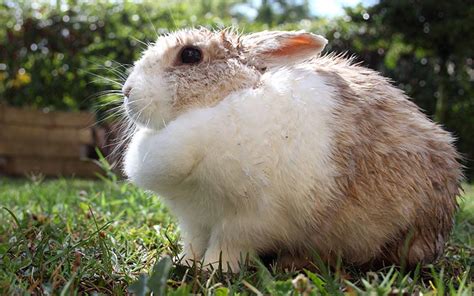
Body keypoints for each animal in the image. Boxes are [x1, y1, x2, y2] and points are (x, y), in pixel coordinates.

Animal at [121, 28, 462, 272]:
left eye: (190, 55)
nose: (126, 91)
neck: (223, 101)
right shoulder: (194, 220)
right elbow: (193, 243)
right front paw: (184, 263)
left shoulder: (249, 218)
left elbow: (227, 245)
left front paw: (213, 269)